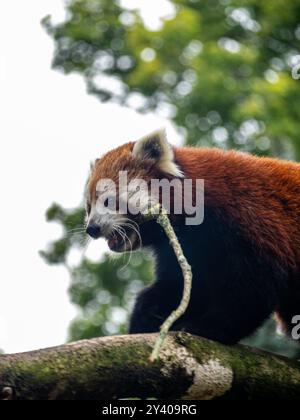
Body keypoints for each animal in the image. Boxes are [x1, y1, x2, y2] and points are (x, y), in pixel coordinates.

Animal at [85, 129, 300, 344]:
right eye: (88, 206)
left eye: (108, 200)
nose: (91, 228)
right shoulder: (182, 247)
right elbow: (184, 287)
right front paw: (144, 317)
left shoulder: (250, 223)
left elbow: (253, 289)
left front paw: (207, 327)